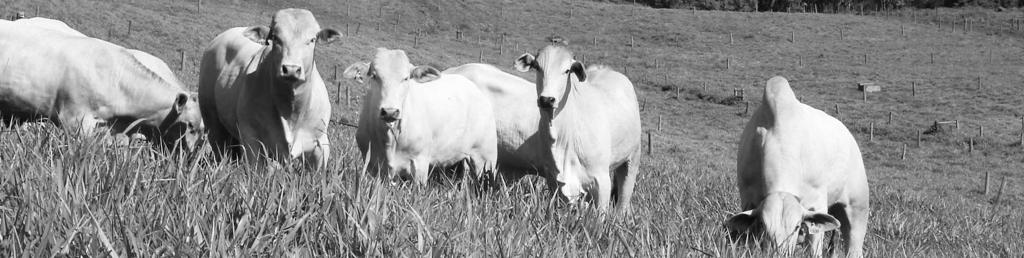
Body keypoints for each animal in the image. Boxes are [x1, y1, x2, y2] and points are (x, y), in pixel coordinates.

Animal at [197, 8, 342, 168]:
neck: (291, 111)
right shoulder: (251, 139)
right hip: (212, 121)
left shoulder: (321, 145)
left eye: (312, 39)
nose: (291, 69)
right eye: (276, 38)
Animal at [346, 47, 497, 184]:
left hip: (487, 158)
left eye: (406, 78)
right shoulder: (372, 164)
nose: (390, 111)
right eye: (374, 76)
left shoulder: (420, 165)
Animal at [512, 41, 638, 211]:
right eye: (537, 66)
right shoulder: (555, 181)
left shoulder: (601, 181)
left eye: (567, 71)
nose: (547, 99)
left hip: (632, 159)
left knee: (623, 198)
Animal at [724, 76, 868, 258]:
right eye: (763, 225)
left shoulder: (817, 203)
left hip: (858, 205)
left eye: (796, 226)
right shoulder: (748, 200)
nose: (779, 253)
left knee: (854, 241)